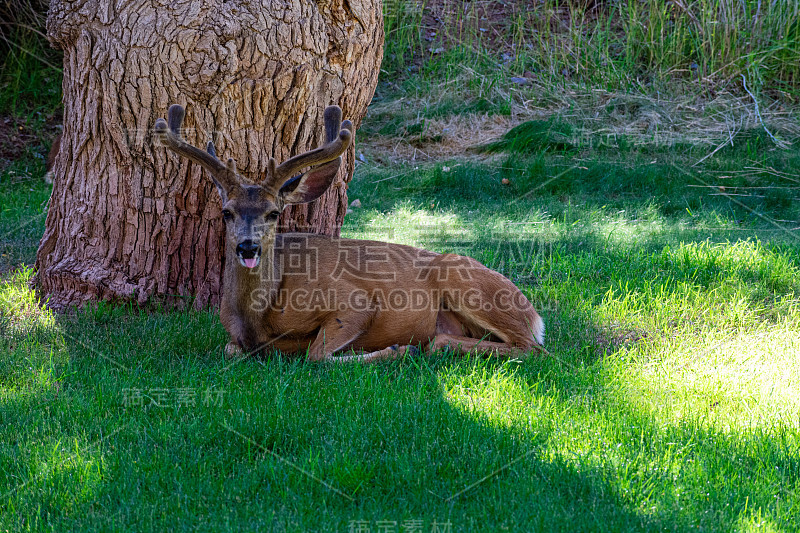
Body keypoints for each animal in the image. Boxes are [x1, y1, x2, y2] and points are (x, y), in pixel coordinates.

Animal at [154, 104, 548, 362]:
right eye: (227, 212)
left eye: (273, 212)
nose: (248, 247)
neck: (259, 318)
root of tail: (534, 315)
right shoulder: (234, 338)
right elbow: (230, 349)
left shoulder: (354, 300)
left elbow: (316, 355)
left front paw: (395, 349)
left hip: (462, 277)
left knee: (533, 348)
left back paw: (429, 344)